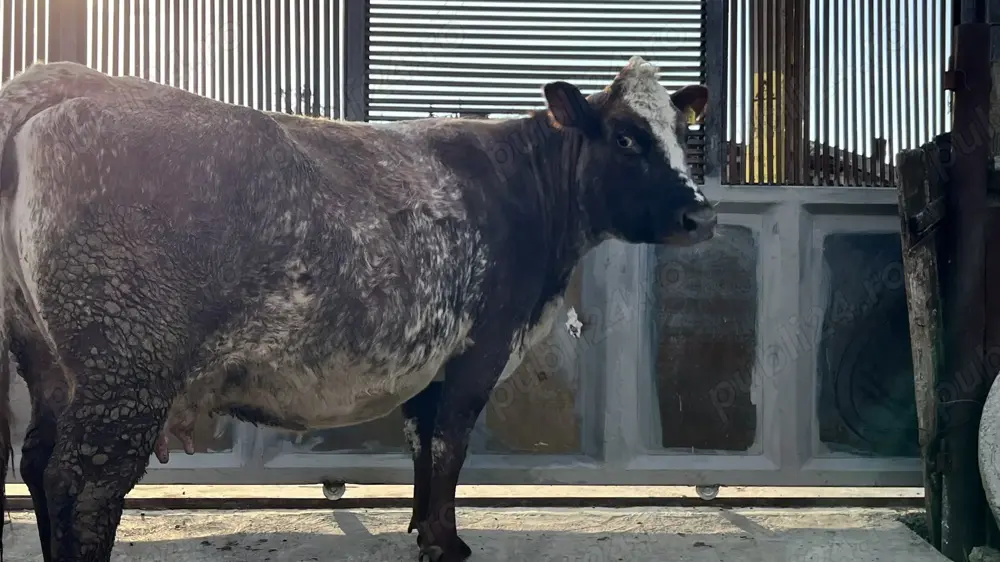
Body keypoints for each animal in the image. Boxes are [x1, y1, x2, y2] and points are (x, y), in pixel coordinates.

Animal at [0, 54, 716, 562]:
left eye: (684, 135)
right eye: (625, 138)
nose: (701, 214)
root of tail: (64, 81)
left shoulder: (430, 360)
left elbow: (423, 446)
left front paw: (422, 528)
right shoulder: (478, 351)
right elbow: (450, 447)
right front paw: (445, 544)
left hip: (49, 362)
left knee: (36, 461)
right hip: (125, 369)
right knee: (81, 485)